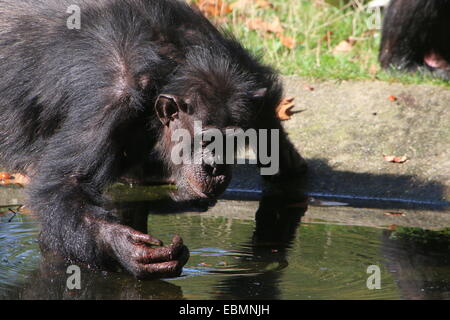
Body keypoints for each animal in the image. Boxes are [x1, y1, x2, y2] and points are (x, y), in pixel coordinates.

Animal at [0, 0, 306, 278]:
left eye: (230, 142)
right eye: (207, 140)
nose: (215, 167)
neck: (167, 68)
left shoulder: (232, 60)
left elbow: (263, 99)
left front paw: (285, 159)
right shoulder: (108, 103)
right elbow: (67, 184)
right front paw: (124, 246)